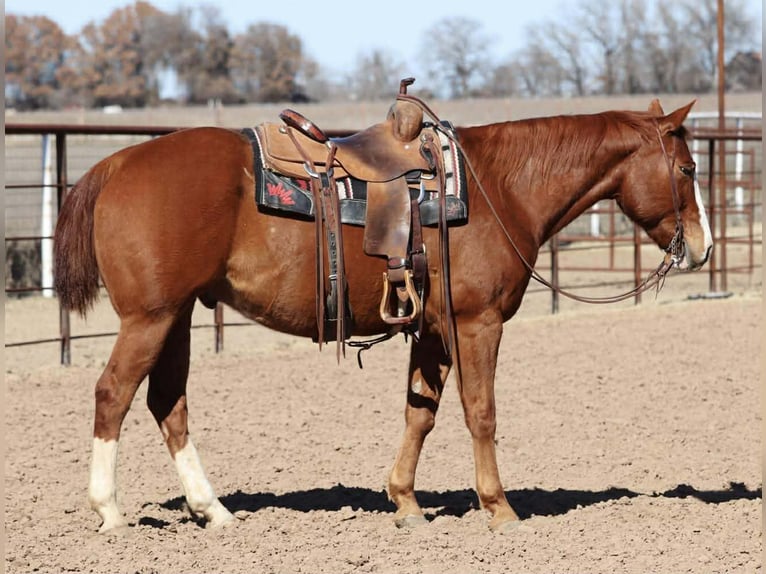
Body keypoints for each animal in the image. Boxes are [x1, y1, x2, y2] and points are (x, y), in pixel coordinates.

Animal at [53, 97, 712, 534]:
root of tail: (116, 165)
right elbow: (481, 413)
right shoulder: (477, 324)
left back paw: (213, 511)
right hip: (150, 317)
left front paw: (406, 503)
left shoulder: (433, 330)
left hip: (178, 316)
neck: (500, 187)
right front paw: (499, 508)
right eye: (687, 169)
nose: (703, 248)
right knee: (113, 394)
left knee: (168, 404)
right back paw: (110, 511)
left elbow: (421, 413)